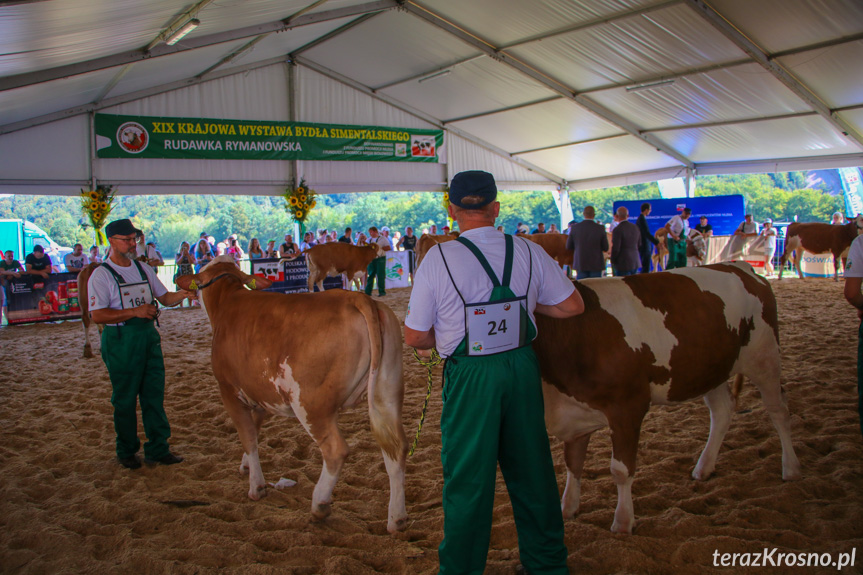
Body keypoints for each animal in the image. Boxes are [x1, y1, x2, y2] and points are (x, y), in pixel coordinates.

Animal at [177, 258, 410, 536]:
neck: (227, 300)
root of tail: (356, 297)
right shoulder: (259, 396)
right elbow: (253, 431)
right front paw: (246, 466)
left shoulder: (230, 391)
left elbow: (248, 437)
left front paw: (256, 487)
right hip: (388, 392)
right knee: (396, 449)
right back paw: (396, 519)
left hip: (310, 405)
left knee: (336, 450)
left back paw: (319, 505)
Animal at [532, 260, 804, 536]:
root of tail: (738, 266)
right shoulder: (573, 413)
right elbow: (573, 463)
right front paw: (567, 508)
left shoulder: (628, 408)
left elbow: (621, 470)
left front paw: (623, 522)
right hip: (709, 369)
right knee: (722, 410)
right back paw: (704, 468)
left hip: (764, 356)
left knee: (778, 409)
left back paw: (791, 468)